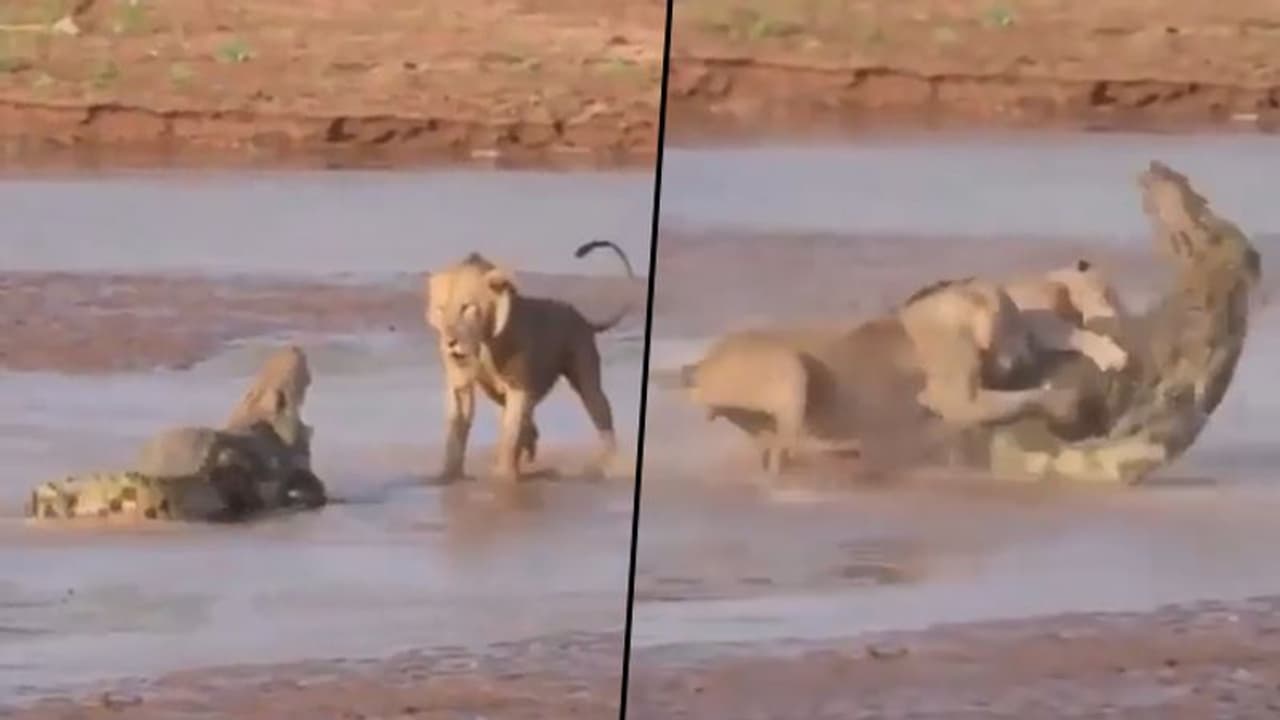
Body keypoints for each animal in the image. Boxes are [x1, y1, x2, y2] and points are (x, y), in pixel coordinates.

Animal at [425, 239, 637, 481]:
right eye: (440, 310)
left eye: (466, 307)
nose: (450, 342)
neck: (485, 344)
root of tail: (582, 316)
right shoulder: (461, 383)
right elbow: (458, 429)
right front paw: (448, 475)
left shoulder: (519, 387)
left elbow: (511, 432)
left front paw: (503, 476)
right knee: (528, 425)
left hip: (587, 378)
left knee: (600, 413)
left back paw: (610, 463)